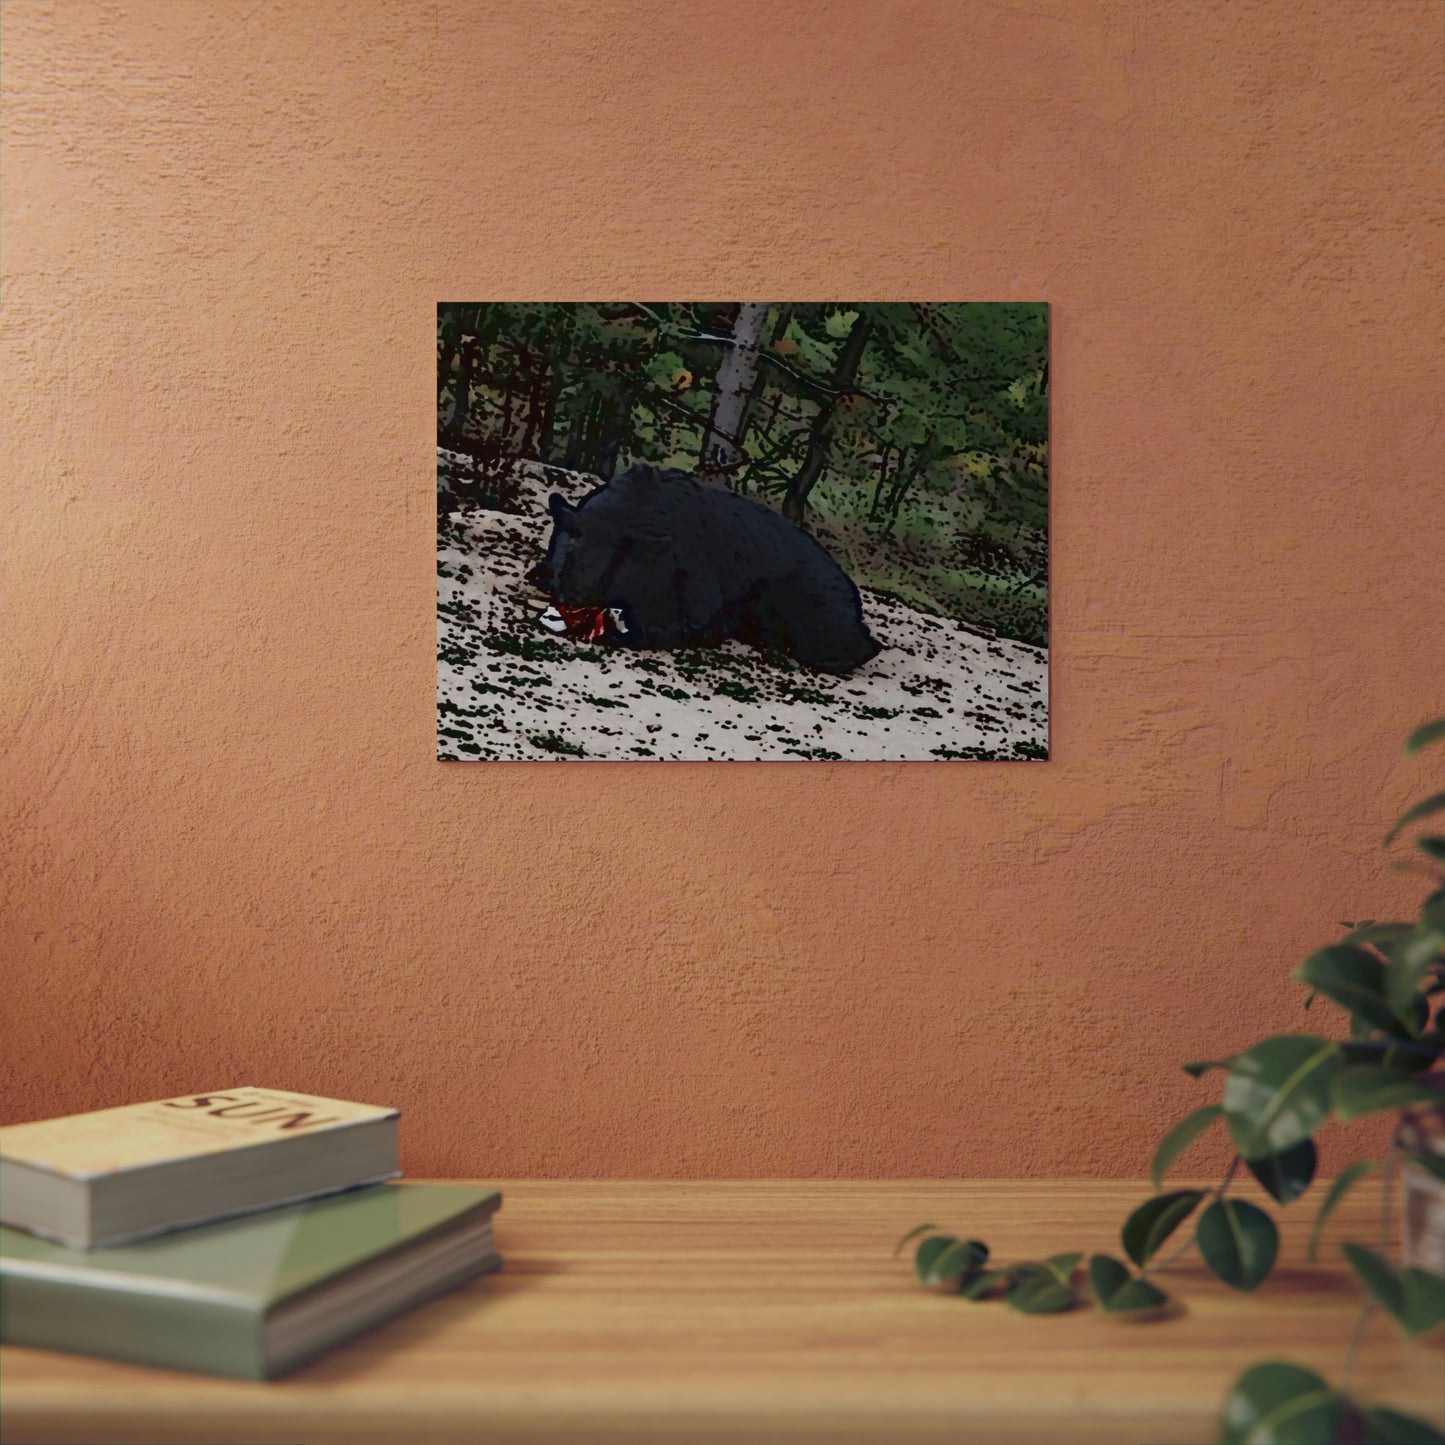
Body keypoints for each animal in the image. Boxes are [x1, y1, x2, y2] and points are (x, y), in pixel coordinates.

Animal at [529, 463, 882, 675]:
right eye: (569, 554)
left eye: (610, 568)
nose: (572, 598)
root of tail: (853, 596)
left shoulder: (691, 600)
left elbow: (666, 628)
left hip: (812, 614)